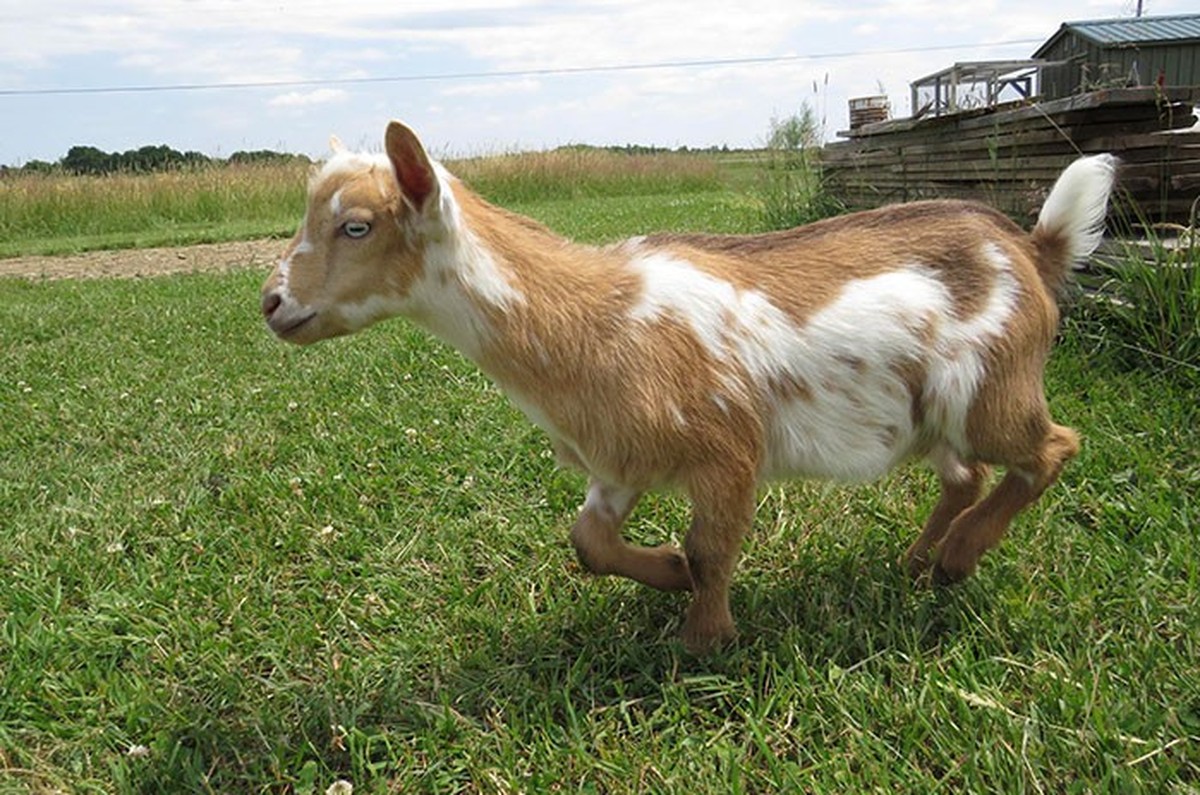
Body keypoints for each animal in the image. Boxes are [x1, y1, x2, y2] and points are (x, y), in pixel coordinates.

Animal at [261, 121, 1117, 653]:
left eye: (357, 225)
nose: (272, 303)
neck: (595, 319)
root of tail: (1031, 247)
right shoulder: (622, 458)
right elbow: (589, 541)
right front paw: (668, 571)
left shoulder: (726, 448)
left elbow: (714, 546)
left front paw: (705, 640)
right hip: (934, 414)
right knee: (966, 473)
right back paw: (916, 560)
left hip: (993, 389)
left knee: (1050, 449)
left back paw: (957, 559)